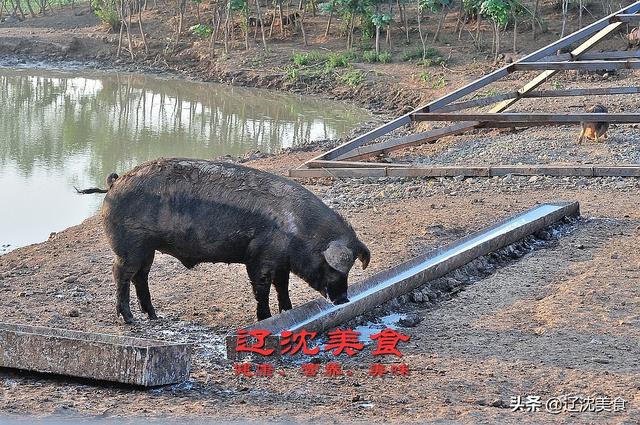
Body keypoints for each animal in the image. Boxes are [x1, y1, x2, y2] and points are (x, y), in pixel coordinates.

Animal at [78, 157, 370, 322]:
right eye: (333, 267)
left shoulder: (281, 261)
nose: (344, 299)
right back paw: (129, 320)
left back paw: (154, 316)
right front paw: (264, 319)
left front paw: (287, 312)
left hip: (147, 249)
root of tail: (115, 182)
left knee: (141, 276)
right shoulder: (260, 257)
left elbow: (282, 287)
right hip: (130, 245)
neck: (299, 231)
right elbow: (262, 288)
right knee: (120, 273)